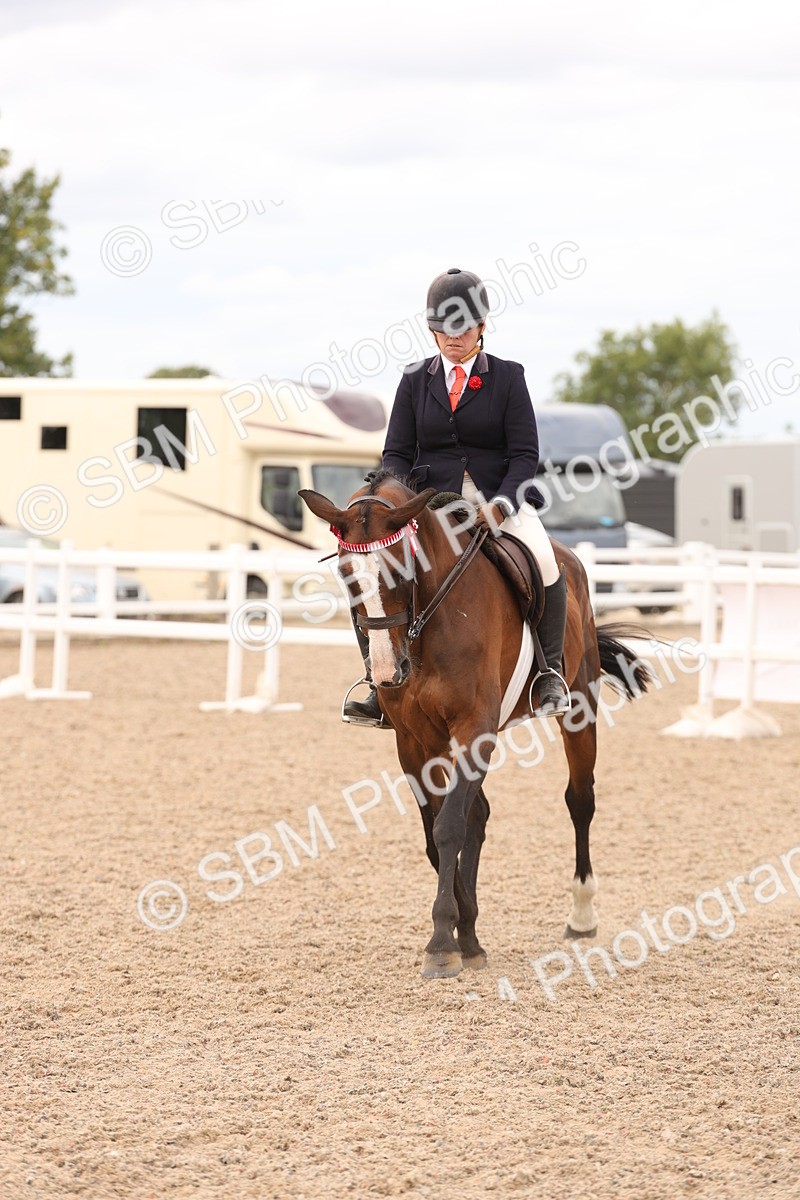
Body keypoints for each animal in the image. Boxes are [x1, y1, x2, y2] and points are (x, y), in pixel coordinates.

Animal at [299, 470, 649, 979]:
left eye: (402, 570)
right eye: (347, 575)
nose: (387, 673)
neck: (428, 624)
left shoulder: (474, 728)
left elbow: (448, 828)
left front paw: (442, 942)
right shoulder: (413, 742)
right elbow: (437, 833)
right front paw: (465, 933)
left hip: (578, 709)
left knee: (580, 801)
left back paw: (582, 917)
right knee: (478, 814)